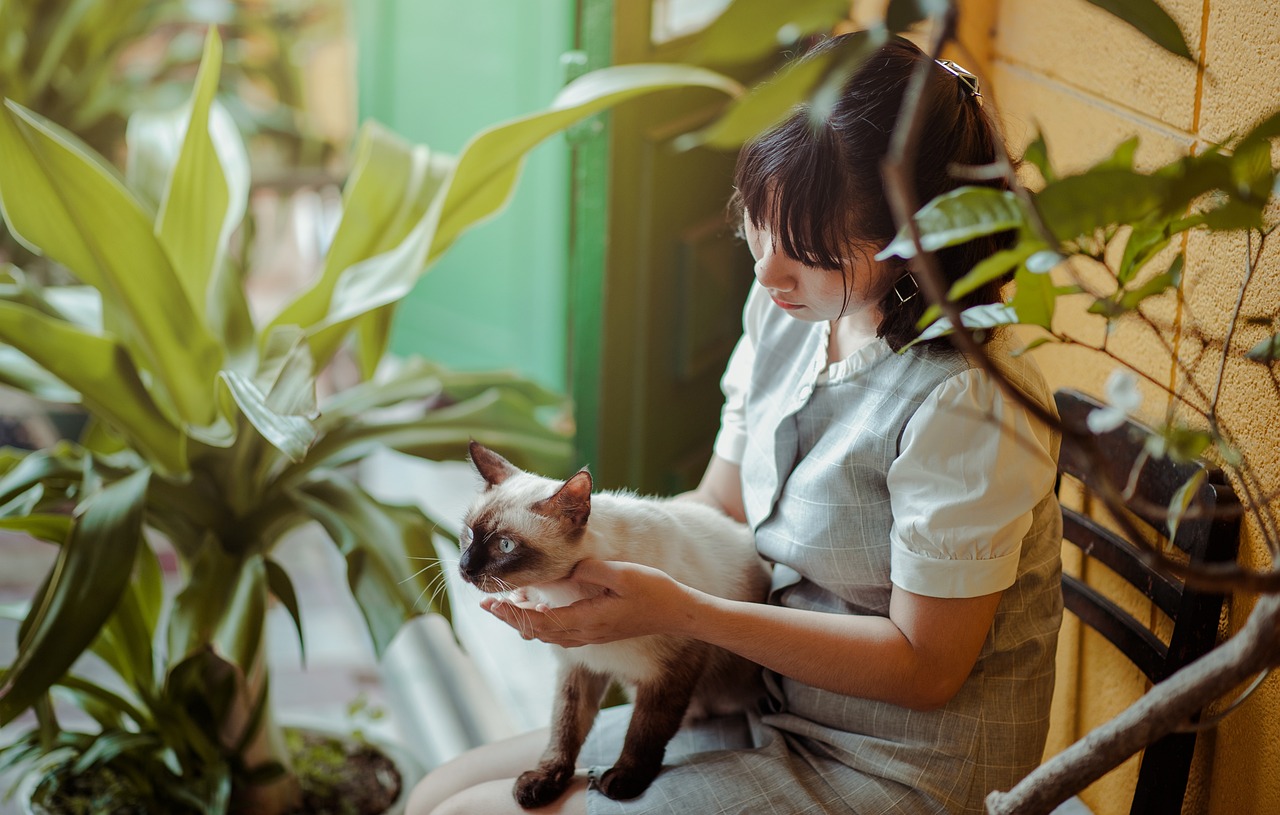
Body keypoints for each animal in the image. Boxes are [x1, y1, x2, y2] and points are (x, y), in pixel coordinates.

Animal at [460, 442, 768, 803]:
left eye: (505, 545)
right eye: (469, 534)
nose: (464, 568)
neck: (563, 592)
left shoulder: (669, 672)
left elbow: (644, 732)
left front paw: (624, 781)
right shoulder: (580, 666)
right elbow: (565, 728)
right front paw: (544, 780)